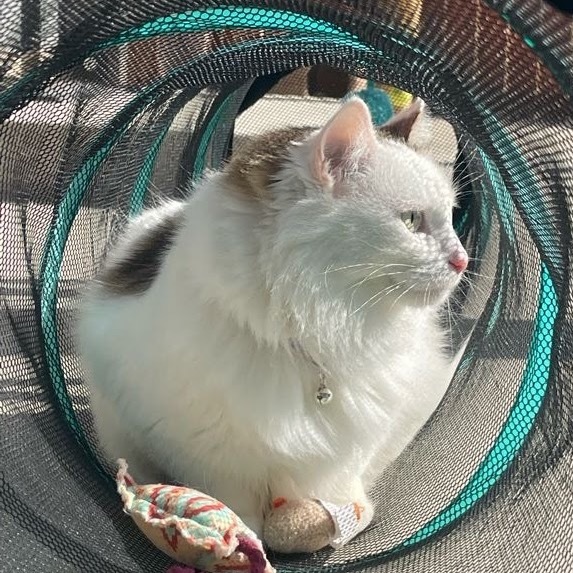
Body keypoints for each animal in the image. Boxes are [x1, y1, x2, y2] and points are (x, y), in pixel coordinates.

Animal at [77, 96, 470, 540]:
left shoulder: (356, 440)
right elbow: (234, 502)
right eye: (411, 220)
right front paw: (242, 535)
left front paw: (328, 521)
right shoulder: (195, 445)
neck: (322, 330)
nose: (463, 260)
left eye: (451, 217)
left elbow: (334, 485)